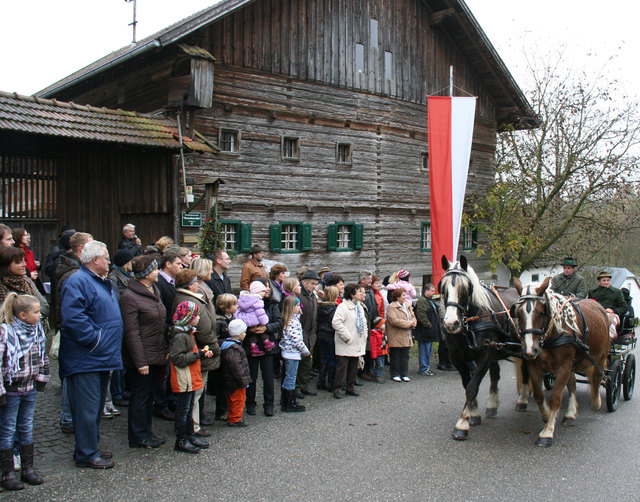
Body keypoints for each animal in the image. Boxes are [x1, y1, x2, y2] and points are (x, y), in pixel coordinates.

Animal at [512, 278, 612, 448]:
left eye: (541, 312)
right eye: (518, 313)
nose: (530, 350)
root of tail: (599, 307)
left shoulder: (564, 365)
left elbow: (555, 398)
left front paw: (547, 432)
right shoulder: (534, 366)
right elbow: (539, 395)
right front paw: (546, 415)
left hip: (601, 356)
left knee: (597, 378)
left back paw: (596, 401)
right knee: (572, 383)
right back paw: (570, 414)